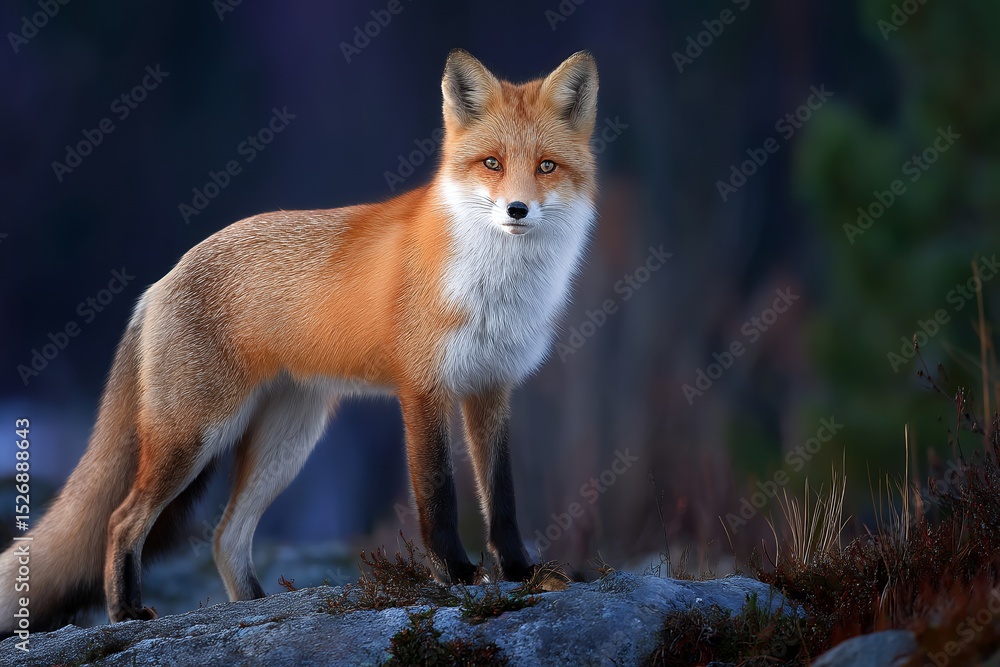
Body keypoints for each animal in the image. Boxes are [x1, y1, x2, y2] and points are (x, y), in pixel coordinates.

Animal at [0, 48, 598, 634]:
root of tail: (160, 282)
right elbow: (438, 495)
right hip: (195, 435)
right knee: (122, 519)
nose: (516, 210)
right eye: (492, 163)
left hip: (287, 441)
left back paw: (254, 610)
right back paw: (126, 611)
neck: (494, 287)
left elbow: (502, 495)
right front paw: (455, 574)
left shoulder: (491, 386)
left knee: (226, 535)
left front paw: (520, 572)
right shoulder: (423, 389)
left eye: (546, 166)